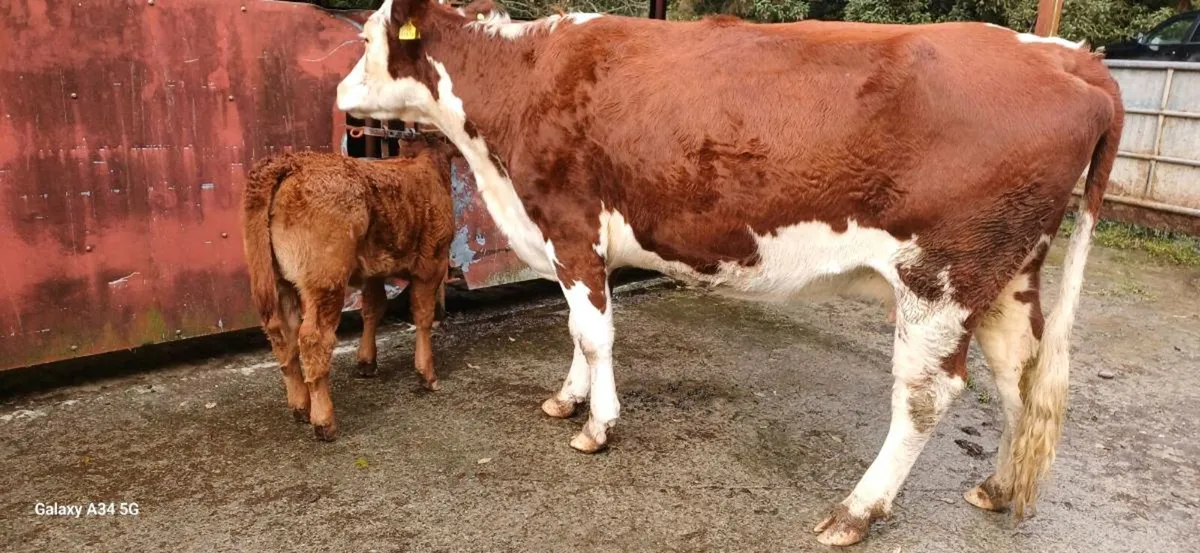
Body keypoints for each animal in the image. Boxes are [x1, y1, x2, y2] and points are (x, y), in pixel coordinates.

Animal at [241, 132, 458, 441]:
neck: (427, 162)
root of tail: (291, 161)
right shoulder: (432, 263)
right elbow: (423, 315)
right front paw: (427, 374)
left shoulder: (374, 271)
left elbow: (373, 308)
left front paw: (366, 362)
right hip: (326, 279)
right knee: (313, 337)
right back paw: (324, 422)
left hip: (278, 279)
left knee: (284, 334)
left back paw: (300, 406)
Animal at [333, 0, 1123, 545]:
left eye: (367, 40)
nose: (339, 97)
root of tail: (1067, 56)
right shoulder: (567, 242)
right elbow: (577, 328)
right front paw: (568, 398)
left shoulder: (571, 224)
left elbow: (593, 333)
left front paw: (597, 425)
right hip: (1008, 275)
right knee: (1018, 372)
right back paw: (996, 486)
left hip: (942, 276)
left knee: (927, 396)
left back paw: (856, 510)